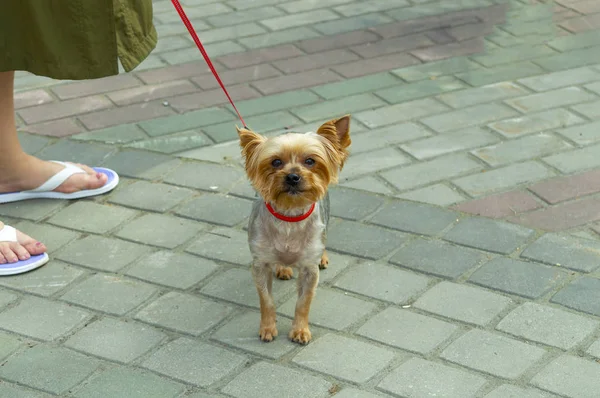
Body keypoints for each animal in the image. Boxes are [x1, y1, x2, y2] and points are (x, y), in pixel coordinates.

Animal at [236, 113, 352, 344]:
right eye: (276, 162)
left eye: (310, 161)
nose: (292, 176)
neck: (289, 215)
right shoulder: (260, 264)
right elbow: (266, 300)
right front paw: (268, 328)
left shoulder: (309, 270)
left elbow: (303, 303)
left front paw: (300, 331)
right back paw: (283, 267)